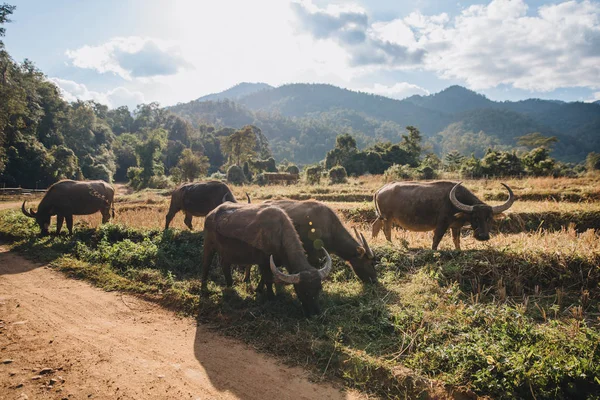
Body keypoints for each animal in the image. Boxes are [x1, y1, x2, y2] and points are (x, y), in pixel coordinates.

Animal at [202, 203, 332, 318]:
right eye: (303, 291)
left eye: (319, 289)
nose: (315, 314)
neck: (279, 235)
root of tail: (210, 214)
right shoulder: (263, 262)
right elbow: (268, 279)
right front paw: (271, 297)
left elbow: (264, 278)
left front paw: (259, 290)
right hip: (209, 245)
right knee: (206, 264)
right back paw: (204, 289)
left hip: (226, 252)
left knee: (224, 264)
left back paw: (230, 285)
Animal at [370, 181, 516, 250]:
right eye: (475, 217)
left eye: (489, 218)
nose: (483, 236)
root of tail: (380, 190)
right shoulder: (442, 224)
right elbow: (436, 239)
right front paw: (434, 250)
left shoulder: (455, 226)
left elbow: (456, 241)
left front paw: (458, 250)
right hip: (387, 217)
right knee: (387, 230)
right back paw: (390, 244)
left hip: (381, 216)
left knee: (375, 225)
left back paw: (373, 241)